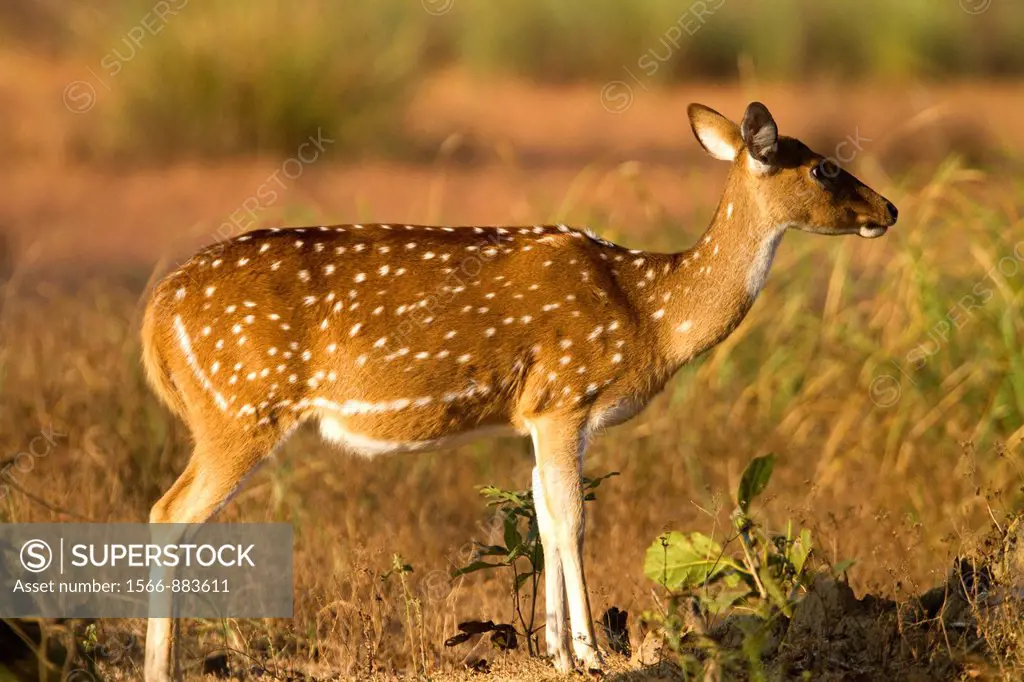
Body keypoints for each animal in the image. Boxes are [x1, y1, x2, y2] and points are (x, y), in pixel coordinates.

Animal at [142, 102, 897, 679]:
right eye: (823, 167)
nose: (888, 208)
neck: (652, 316)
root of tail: (154, 317)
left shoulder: (539, 414)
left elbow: (542, 515)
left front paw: (556, 652)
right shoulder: (566, 395)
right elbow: (573, 520)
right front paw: (591, 656)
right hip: (240, 408)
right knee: (167, 513)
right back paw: (162, 666)